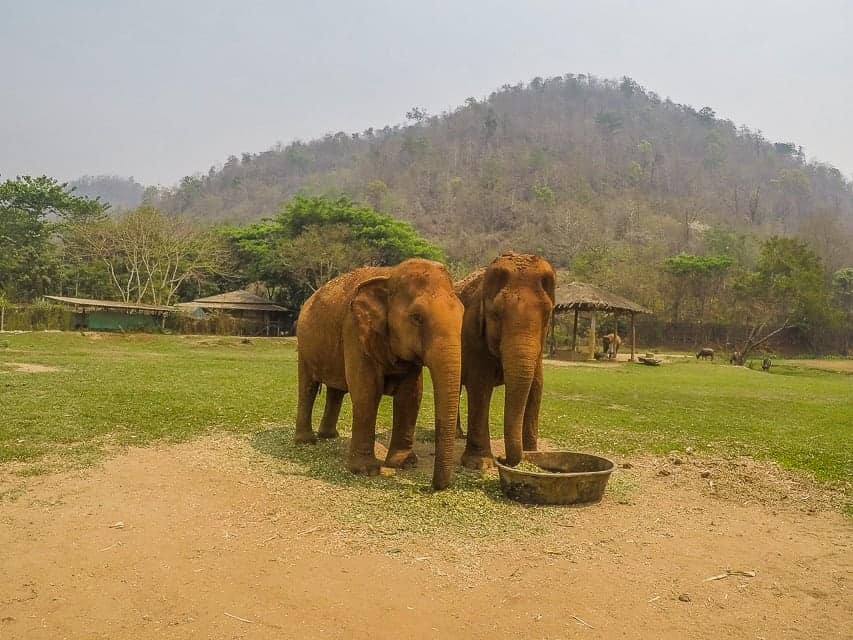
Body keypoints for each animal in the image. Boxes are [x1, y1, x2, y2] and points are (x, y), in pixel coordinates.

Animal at [294, 259, 464, 490]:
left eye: (462, 314)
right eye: (417, 317)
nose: (430, 487)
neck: (391, 275)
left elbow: (410, 396)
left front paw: (405, 464)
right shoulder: (354, 330)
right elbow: (367, 391)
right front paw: (365, 471)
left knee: (336, 390)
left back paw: (329, 436)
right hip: (303, 344)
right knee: (308, 387)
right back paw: (306, 441)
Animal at [455, 252, 556, 469]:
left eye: (547, 314)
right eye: (496, 314)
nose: (502, 459)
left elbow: (536, 386)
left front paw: (532, 454)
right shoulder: (473, 334)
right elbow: (480, 386)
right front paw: (479, 464)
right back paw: (457, 435)